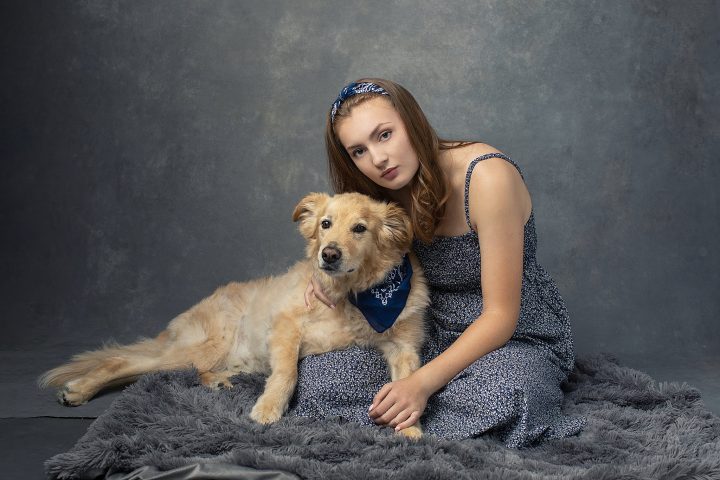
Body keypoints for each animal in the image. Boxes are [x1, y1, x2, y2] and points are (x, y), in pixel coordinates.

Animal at [38, 192, 428, 438]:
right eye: (326, 224)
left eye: (360, 228)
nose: (328, 254)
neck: (352, 297)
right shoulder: (285, 325)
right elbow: (286, 373)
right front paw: (268, 409)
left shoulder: (404, 347)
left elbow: (406, 384)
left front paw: (408, 426)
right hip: (202, 347)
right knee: (125, 363)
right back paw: (79, 391)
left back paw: (218, 383)